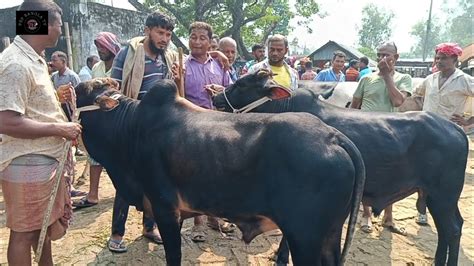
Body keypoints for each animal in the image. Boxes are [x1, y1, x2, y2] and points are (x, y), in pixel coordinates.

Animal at [76, 78, 366, 264]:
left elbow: (173, 256)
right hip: (330, 233)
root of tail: (333, 137)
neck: (130, 126)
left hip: (304, 236)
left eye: (80, 92)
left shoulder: (164, 206)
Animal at [212, 69, 470, 264]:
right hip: (438, 196)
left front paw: (280, 257)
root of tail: (454, 128)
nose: (215, 98)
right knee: (448, 229)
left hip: (443, 195)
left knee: (453, 229)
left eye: (241, 84)